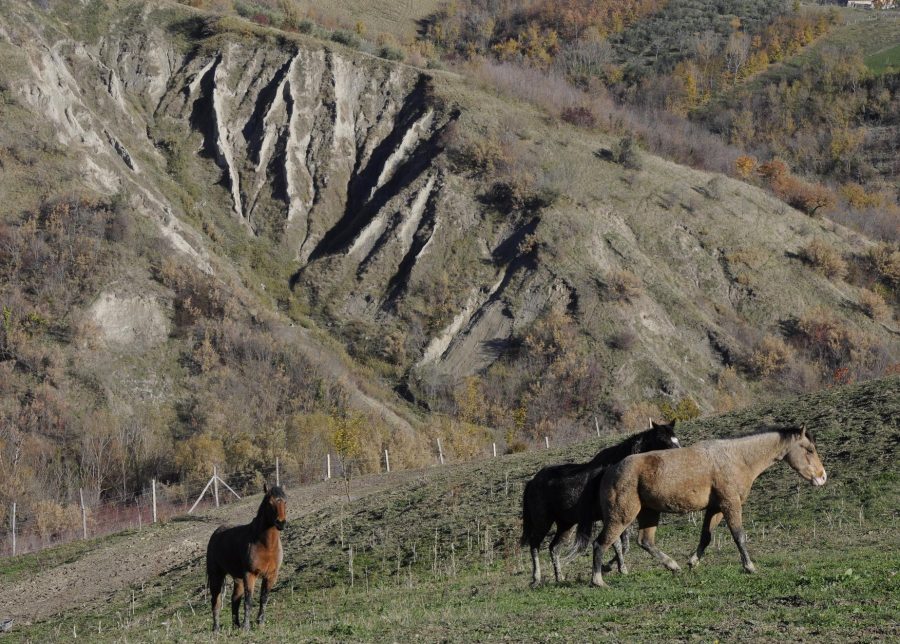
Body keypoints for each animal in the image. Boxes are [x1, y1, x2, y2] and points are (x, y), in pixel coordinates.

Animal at [206, 484, 287, 631]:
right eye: (269, 502)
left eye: (285, 502)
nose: (281, 523)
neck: (265, 545)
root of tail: (216, 533)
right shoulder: (250, 574)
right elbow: (248, 600)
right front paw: (246, 627)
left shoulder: (271, 575)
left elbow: (263, 598)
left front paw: (260, 623)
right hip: (216, 575)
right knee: (216, 600)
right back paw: (216, 629)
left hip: (237, 579)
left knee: (235, 600)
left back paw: (236, 625)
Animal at [521, 420, 681, 586]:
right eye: (662, 440)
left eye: (676, 438)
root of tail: (532, 481)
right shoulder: (611, 518)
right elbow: (617, 544)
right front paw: (613, 567)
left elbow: (623, 544)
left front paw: (613, 567)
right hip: (543, 522)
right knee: (534, 544)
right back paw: (536, 579)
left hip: (566, 525)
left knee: (554, 548)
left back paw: (559, 577)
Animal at [578, 425, 827, 587]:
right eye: (810, 450)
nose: (822, 477)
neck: (736, 458)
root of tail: (609, 469)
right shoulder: (730, 503)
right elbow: (739, 535)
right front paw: (749, 566)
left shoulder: (715, 508)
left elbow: (706, 537)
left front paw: (692, 562)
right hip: (622, 516)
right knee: (600, 543)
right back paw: (598, 580)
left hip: (649, 513)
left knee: (645, 542)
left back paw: (673, 566)